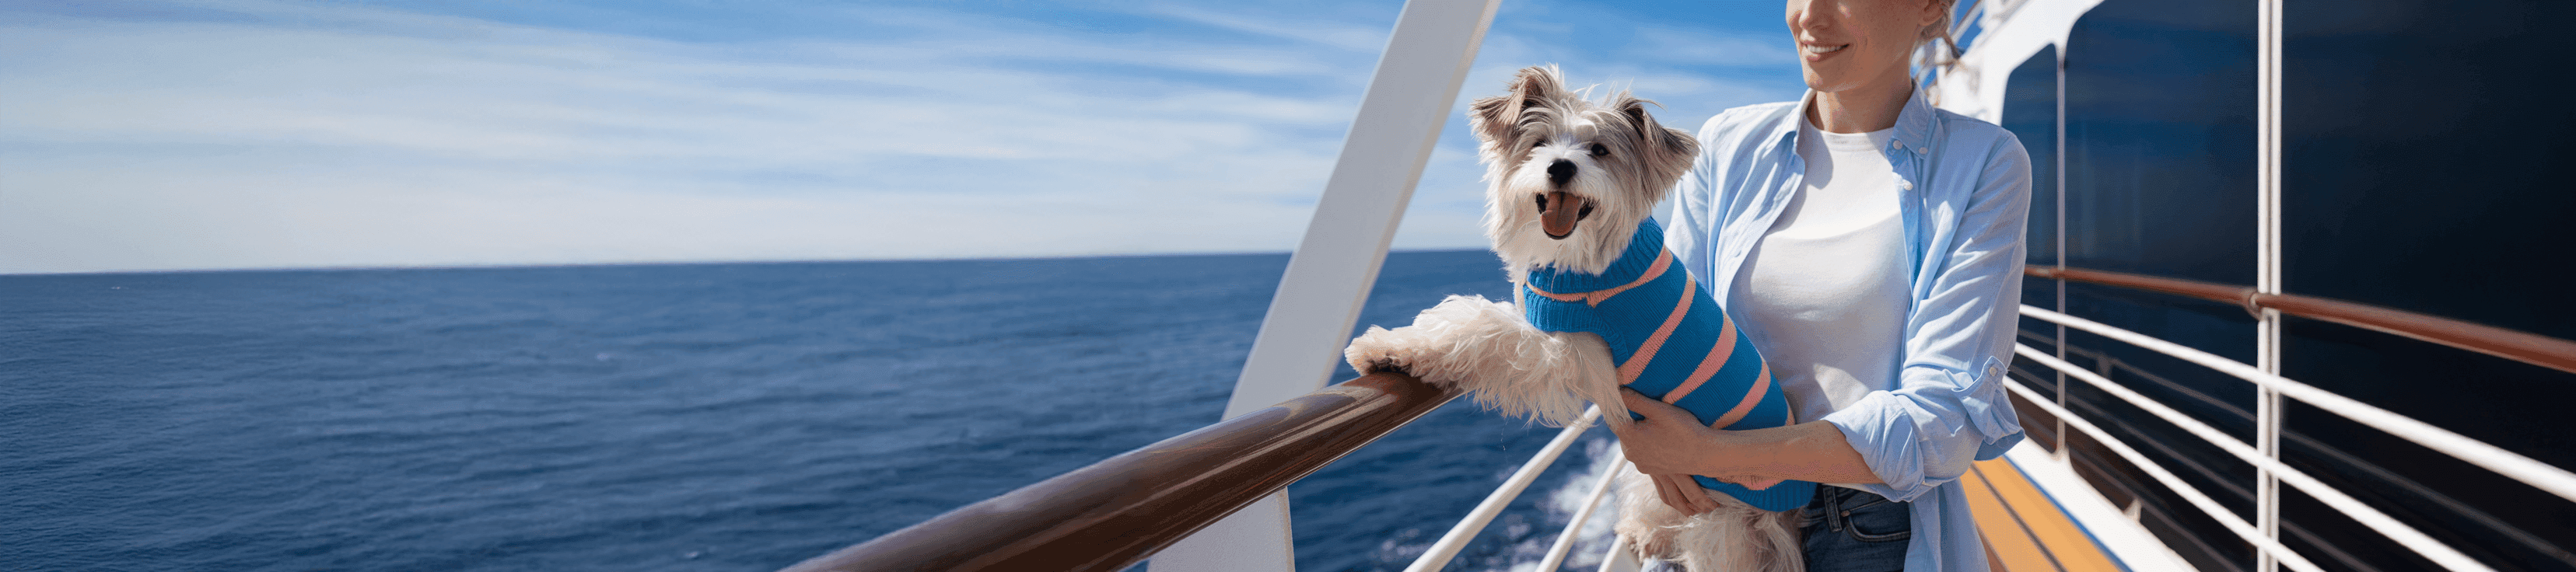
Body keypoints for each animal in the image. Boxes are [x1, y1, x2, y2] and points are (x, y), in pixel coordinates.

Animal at [1349, 65, 1813, 572]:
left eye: (1600, 151)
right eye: (1538, 142)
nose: (1560, 167)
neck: (1582, 259)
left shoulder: (1580, 357)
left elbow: (1488, 329)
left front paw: (1392, 347)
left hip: (1726, 515)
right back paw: (1646, 532)